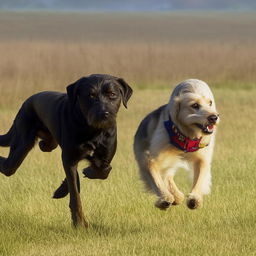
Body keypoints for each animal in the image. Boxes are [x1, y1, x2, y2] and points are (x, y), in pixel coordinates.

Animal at [0, 74, 132, 228]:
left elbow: (104, 170)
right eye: (90, 96)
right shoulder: (70, 158)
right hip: (21, 144)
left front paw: (82, 175)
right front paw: (80, 223)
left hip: (49, 142)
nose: (103, 114)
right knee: (8, 166)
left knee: (45, 146)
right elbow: (75, 194)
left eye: (112, 94)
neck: (93, 130)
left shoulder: (106, 155)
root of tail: (26, 102)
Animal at [133, 79, 219, 210]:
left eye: (210, 103)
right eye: (195, 105)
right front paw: (165, 198)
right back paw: (175, 196)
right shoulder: (151, 159)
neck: (186, 135)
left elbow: (199, 178)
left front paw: (195, 198)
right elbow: (157, 180)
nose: (214, 117)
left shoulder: (202, 157)